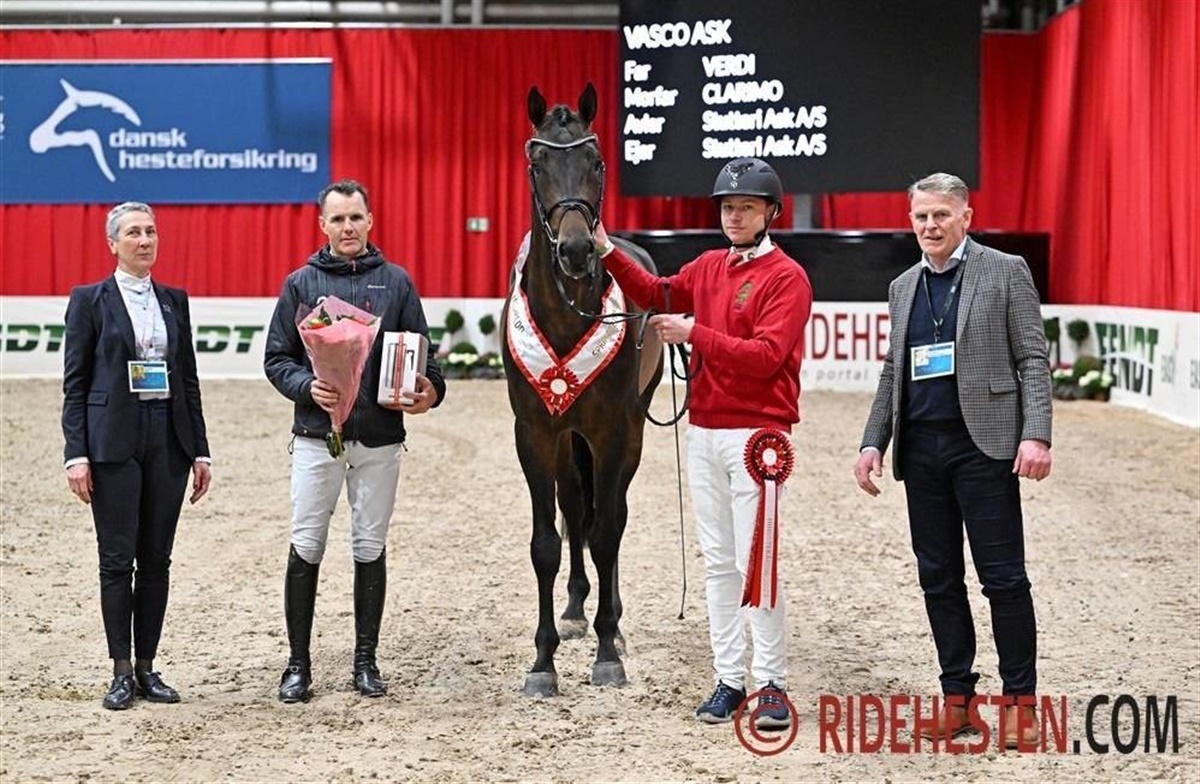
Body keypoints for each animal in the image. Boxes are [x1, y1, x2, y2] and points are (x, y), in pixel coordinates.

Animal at [502, 83, 664, 697]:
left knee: (608, 516)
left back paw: (610, 621)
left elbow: (608, 530)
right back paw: (575, 611)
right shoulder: (535, 435)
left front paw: (607, 650)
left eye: (596, 162)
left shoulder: (614, 433)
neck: (569, 315)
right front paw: (543, 661)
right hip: (568, 441)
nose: (575, 251)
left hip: (627, 432)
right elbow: (548, 542)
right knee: (575, 509)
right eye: (536, 164)